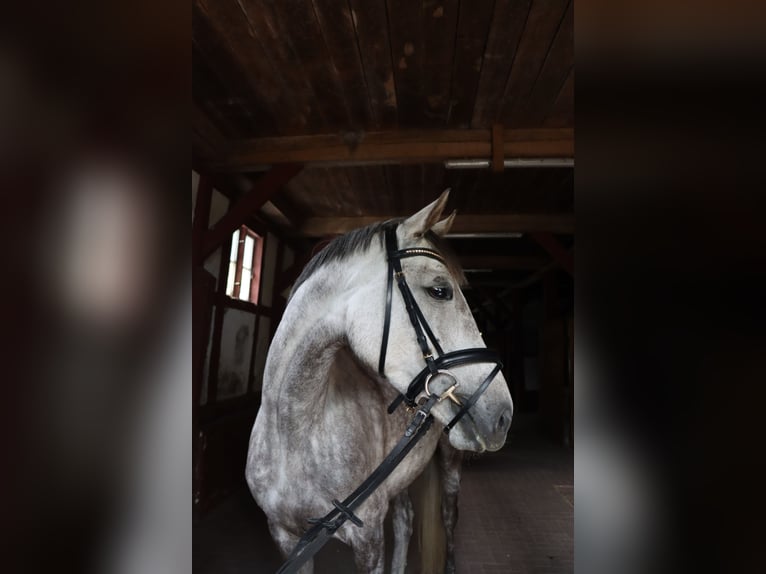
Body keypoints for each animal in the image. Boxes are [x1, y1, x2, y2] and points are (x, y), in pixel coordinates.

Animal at [246, 192, 512, 574]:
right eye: (439, 290)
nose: (504, 415)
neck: (291, 430)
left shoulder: (368, 540)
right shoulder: (287, 539)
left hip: (450, 463)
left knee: (448, 517)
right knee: (404, 519)